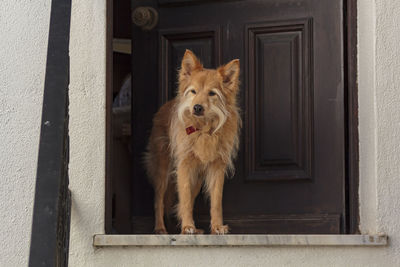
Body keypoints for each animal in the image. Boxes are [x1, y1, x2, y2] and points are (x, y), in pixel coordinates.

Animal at [146, 49, 242, 234]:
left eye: (212, 93)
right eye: (193, 91)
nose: (197, 107)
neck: (203, 129)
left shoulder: (217, 167)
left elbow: (215, 201)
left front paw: (217, 226)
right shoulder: (184, 165)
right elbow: (184, 198)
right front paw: (187, 226)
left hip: (197, 177)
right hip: (163, 169)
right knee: (158, 199)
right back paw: (160, 227)